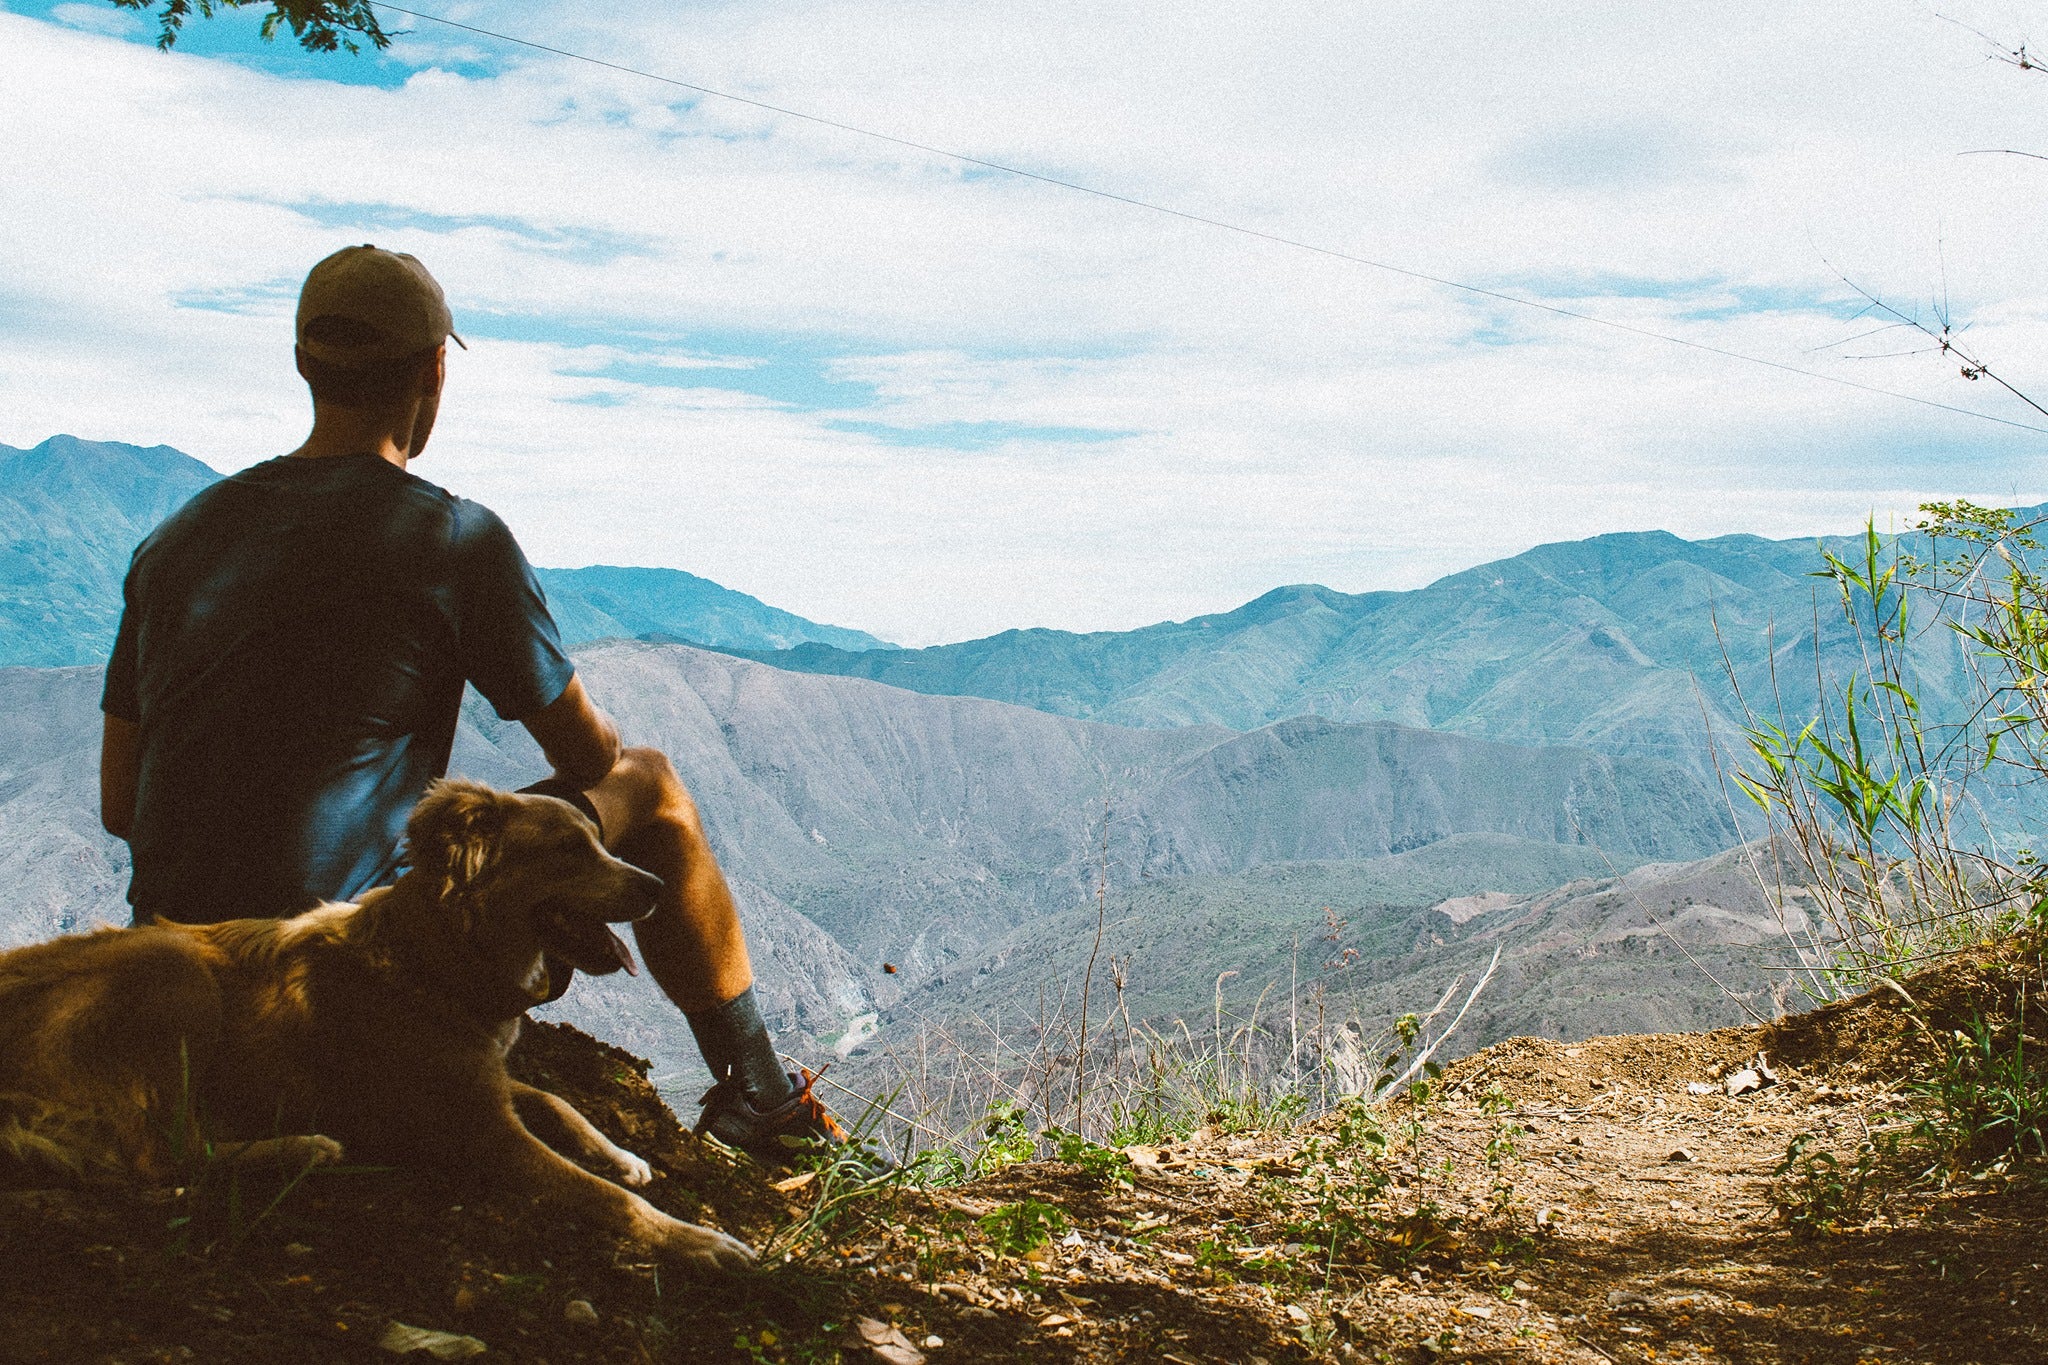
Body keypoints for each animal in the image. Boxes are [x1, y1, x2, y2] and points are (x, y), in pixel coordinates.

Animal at [0, 785, 757, 1277]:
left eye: (600, 840)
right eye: (569, 848)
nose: (657, 886)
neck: (436, 955)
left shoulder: (481, 1080)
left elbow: (557, 1100)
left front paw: (621, 1152)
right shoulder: (482, 1135)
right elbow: (613, 1200)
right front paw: (700, 1241)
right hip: (175, 968)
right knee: (160, 1156)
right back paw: (304, 1147)